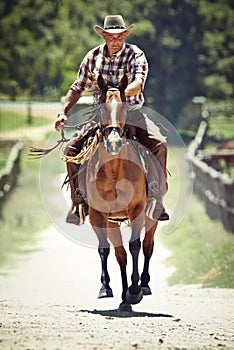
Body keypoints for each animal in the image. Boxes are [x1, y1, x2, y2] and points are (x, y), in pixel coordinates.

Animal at [86, 75, 159, 310]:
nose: (114, 143)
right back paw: (123, 297)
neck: (115, 170)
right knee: (120, 253)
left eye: (125, 108)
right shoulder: (99, 215)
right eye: (101, 108)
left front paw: (134, 291)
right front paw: (108, 288)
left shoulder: (137, 210)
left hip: (151, 215)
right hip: (112, 221)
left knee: (147, 245)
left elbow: (135, 246)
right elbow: (107, 250)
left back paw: (143, 284)